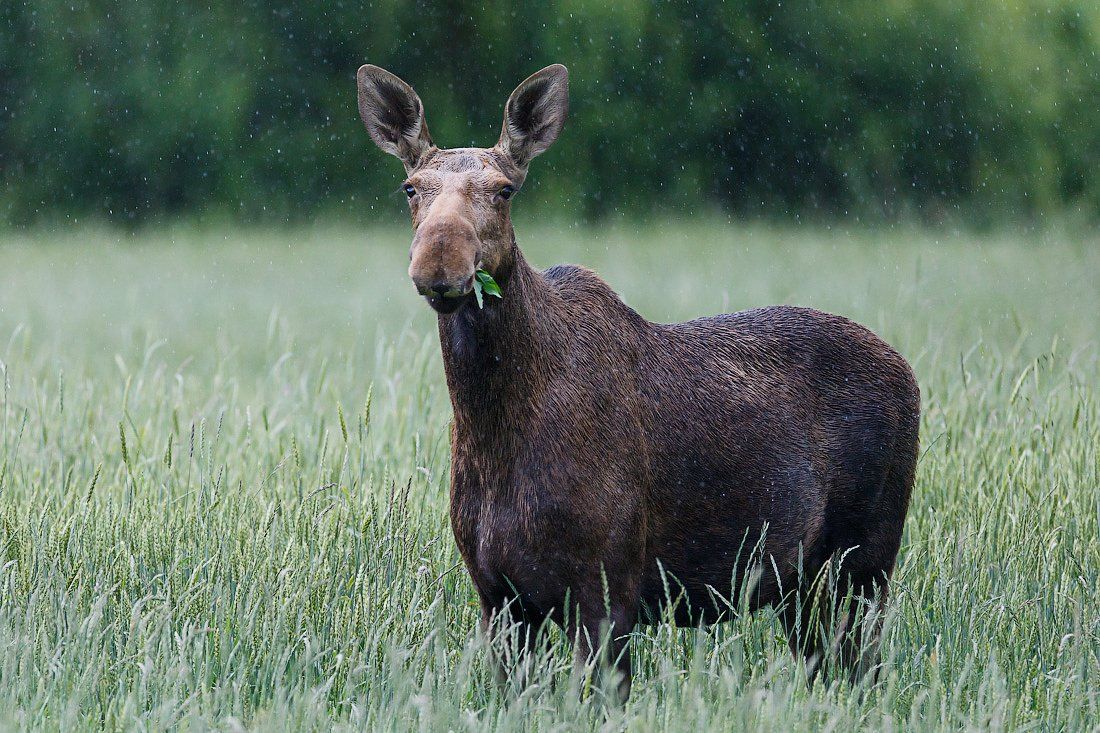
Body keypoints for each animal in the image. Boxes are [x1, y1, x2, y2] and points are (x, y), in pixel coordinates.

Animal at [354, 61, 919, 695]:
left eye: (505, 190)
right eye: (411, 188)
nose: (438, 263)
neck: (494, 427)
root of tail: (909, 372)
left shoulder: (610, 585)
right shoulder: (498, 595)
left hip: (867, 558)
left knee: (865, 667)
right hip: (798, 583)